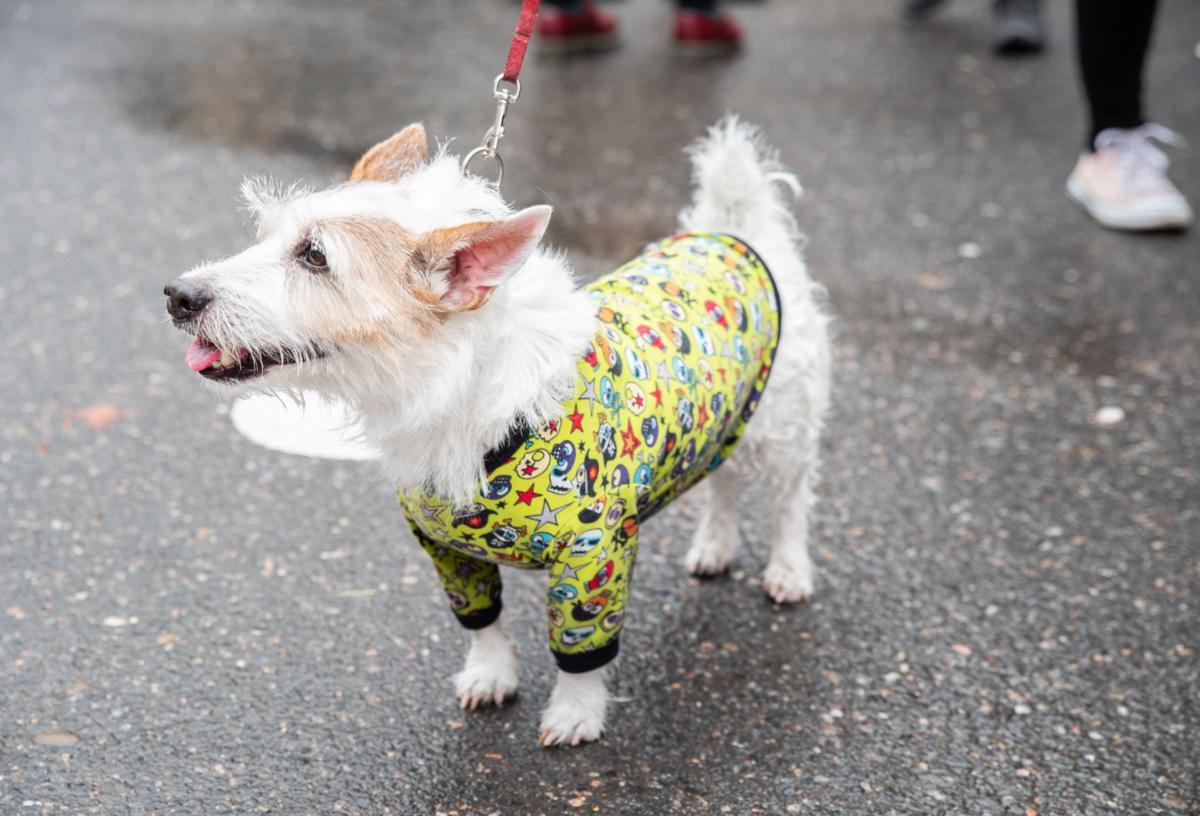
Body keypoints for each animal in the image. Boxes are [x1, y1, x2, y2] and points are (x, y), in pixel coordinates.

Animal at [164, 114, 830, 744]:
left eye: (315, 257)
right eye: (270, 236)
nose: (176, 294)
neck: (460, 391)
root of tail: (735, 233)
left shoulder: (597, 555)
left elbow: (581, 647)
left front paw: (575, 712)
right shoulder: (447, 549)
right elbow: (481, 621)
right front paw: (490, 675)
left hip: (786, 427)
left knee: (791, 500)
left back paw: (789, 571)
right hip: (727, 422)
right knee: (723, 481)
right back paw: (714, 546)